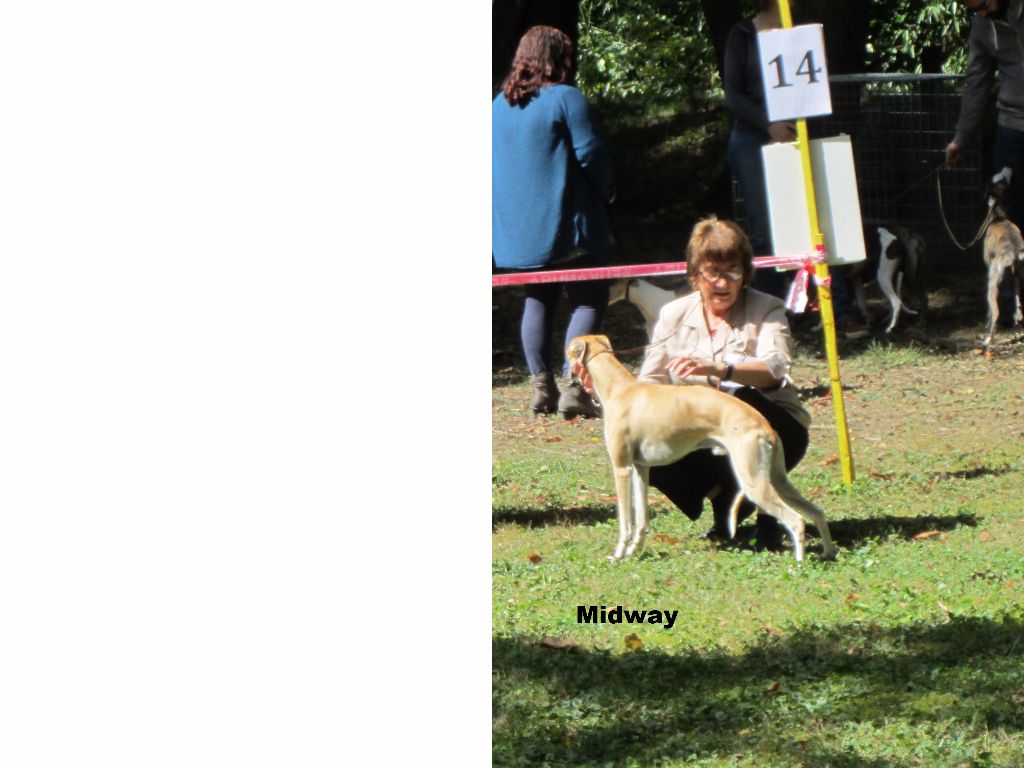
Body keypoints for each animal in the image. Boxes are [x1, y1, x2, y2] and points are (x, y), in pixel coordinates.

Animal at [569, 333, 839, 561]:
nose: (569, 376)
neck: (620, 388)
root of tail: (766, 426)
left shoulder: (622, 468)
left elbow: (625, 522)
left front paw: (618, 555)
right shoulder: (640, 468)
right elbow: (642, 520)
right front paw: (634, 551)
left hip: (753, 481)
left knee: (796, 520)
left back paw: (798, 562)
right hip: (777, 479)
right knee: (816, 511)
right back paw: (827, 552)